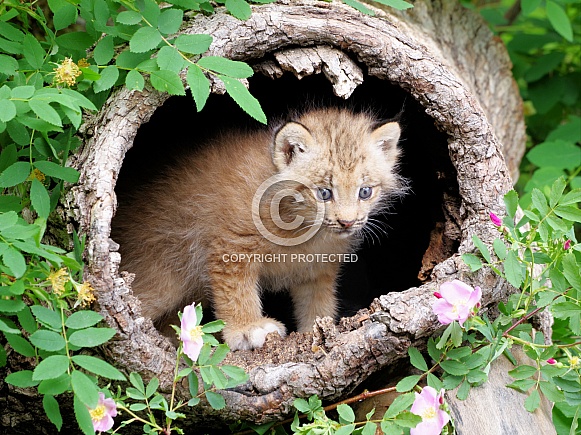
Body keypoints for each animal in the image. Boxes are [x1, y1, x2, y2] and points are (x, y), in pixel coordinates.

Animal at [113, 107, 404, 352]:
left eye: (365, 191)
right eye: (324, 193)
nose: (347, 223)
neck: (304, 228)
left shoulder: (317, 268)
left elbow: (318, 303)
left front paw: (317, 332)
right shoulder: (231, 246)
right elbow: (235, 292)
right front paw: (247, 329)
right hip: (162, 279)